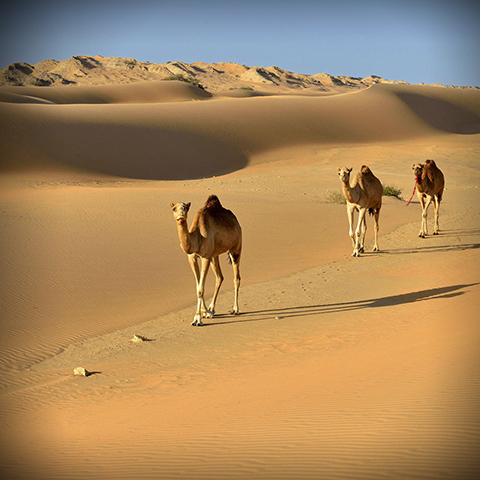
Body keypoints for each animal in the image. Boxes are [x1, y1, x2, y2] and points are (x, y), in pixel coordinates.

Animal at [171, 195, 242, 326]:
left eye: (186, 208)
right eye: (174, 208)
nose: (181, 216)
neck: (197, 237)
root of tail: (236, 220)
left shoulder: (205, 257)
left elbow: (201, 288)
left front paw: (197, 319)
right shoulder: (192, 258)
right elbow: (198, 285)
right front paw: (205, 312)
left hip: (236, 246)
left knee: (236, 278)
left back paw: (235, 309)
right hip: (215, 255)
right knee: (220, 277)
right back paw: (212, 308)